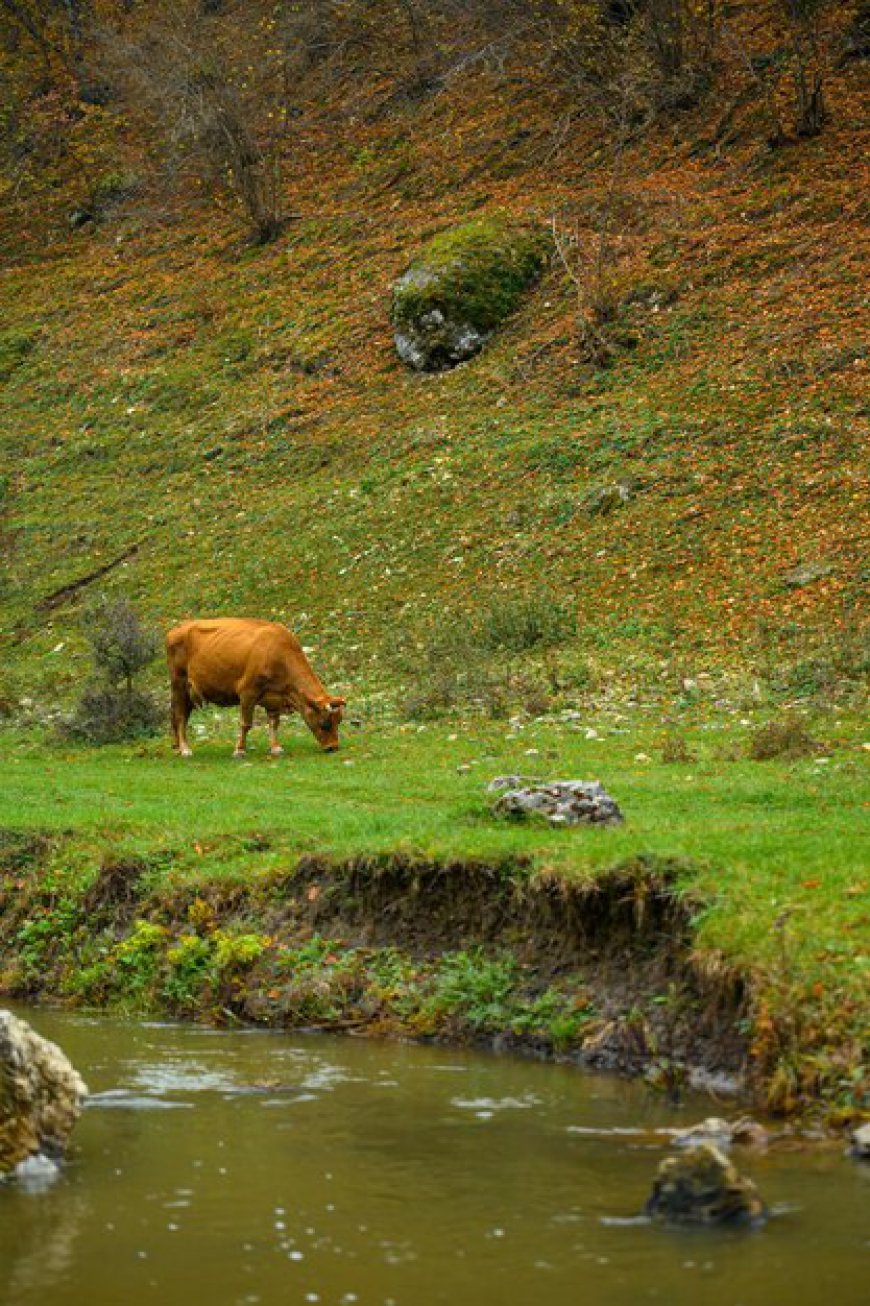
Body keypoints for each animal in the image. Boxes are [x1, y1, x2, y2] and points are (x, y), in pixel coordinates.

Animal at [165, 619, 344, 762]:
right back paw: (185, 749)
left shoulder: (274, 698)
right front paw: (239, 750)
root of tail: (177, 629)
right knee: (180, 716)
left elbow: (274, 723)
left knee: (180, 715)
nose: (333, 747)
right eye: (325, 723)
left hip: (189, 692)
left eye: (339, 721)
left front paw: (276, 748)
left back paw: (177, 746)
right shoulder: (247, 692)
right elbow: (246, 724)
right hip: (179, 683)